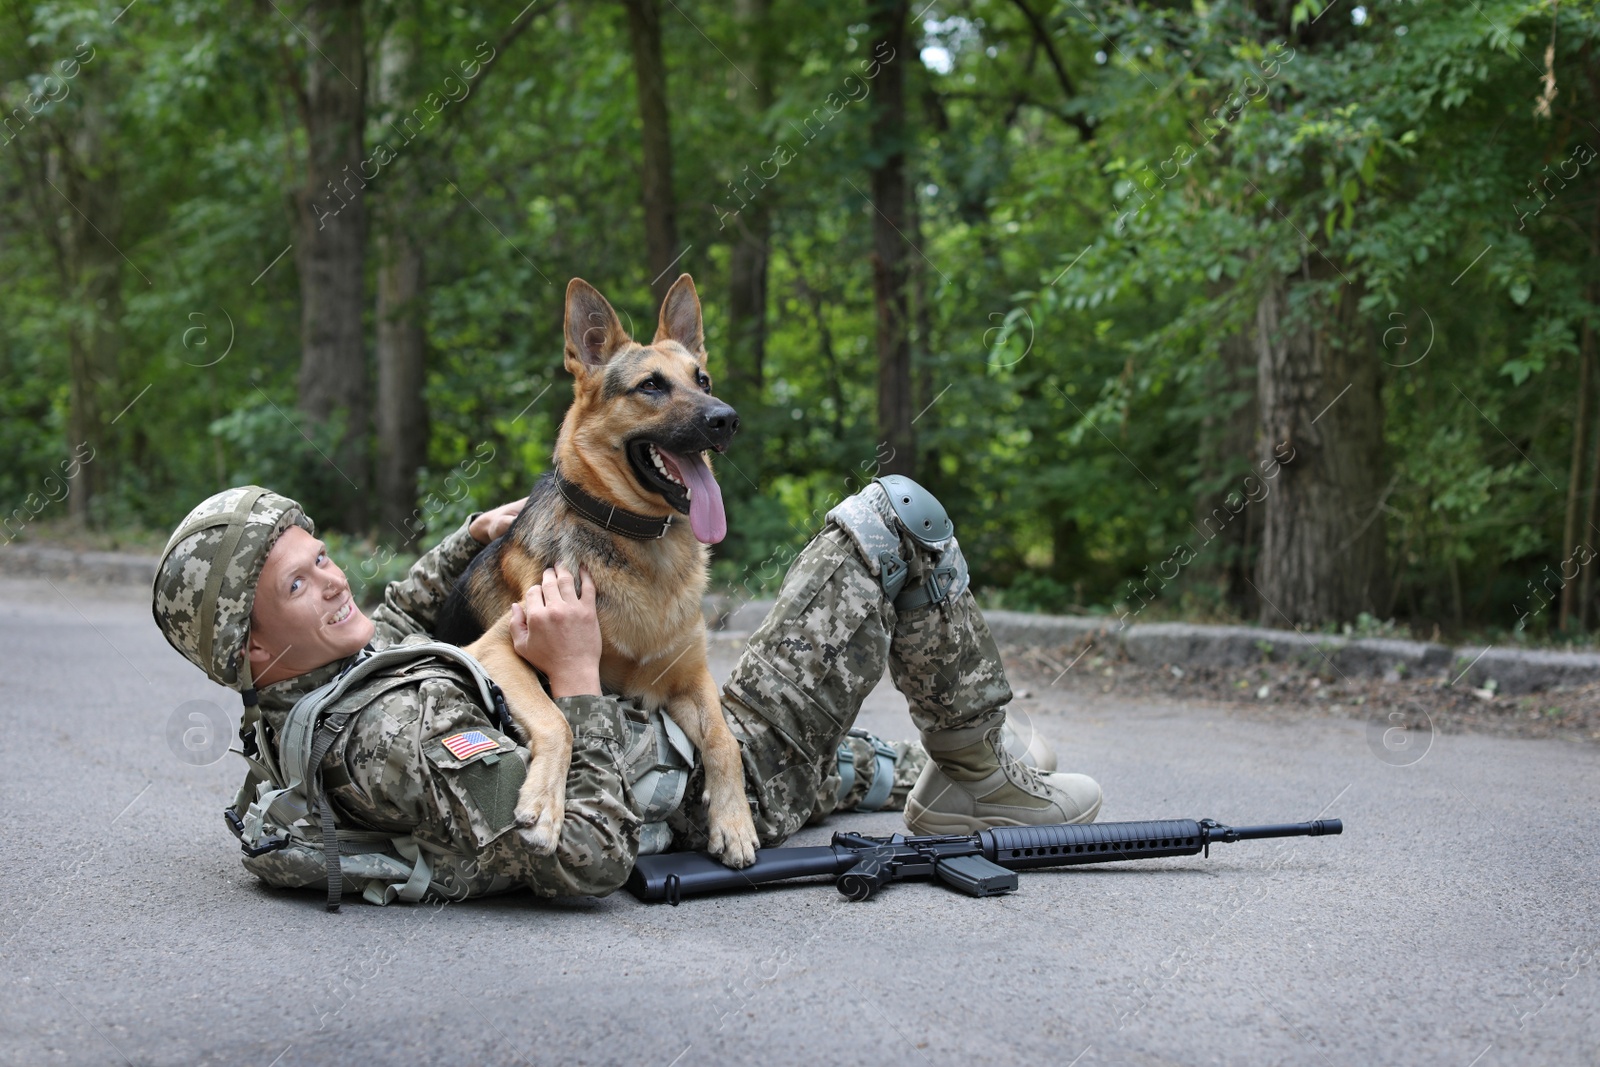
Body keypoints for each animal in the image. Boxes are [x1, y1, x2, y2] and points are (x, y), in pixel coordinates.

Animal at [438, 273, 761, 870]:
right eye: (651, 386)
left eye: (702, 379)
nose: (725, 419)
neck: (640, 543)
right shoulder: (493, 652)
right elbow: (559, 719)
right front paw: (545, 808)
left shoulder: (689, 678)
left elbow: (725, 740)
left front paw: (734, 822)